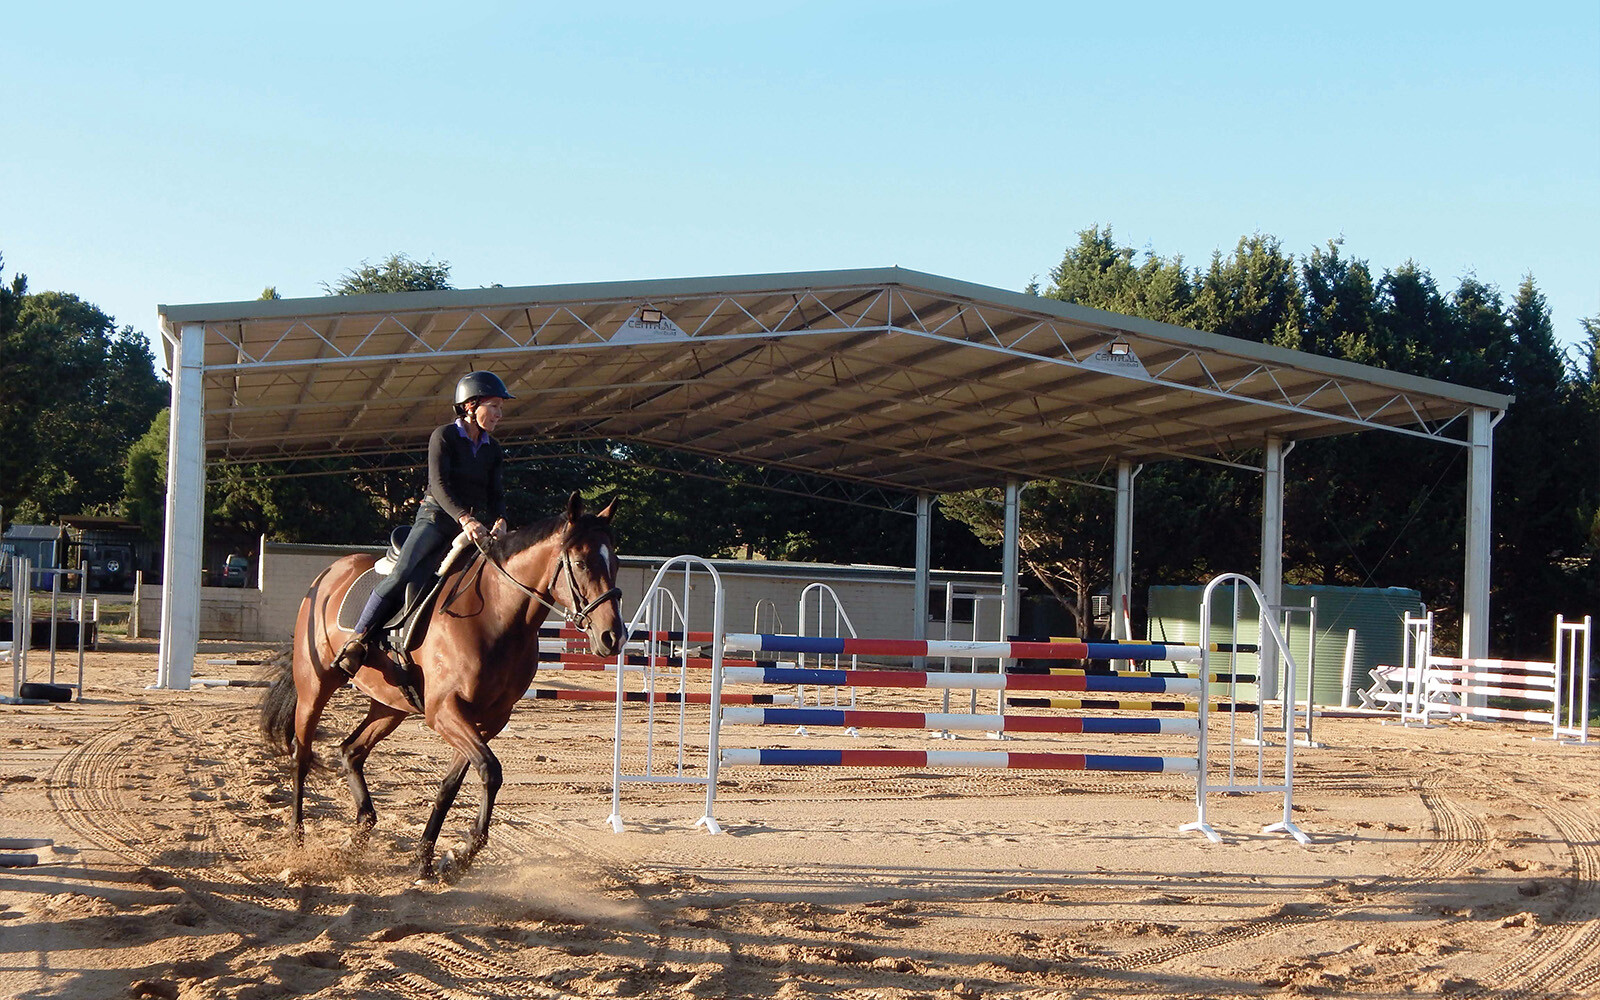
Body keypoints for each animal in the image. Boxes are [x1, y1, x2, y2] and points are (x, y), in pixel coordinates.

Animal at [259, 486, 620, 876]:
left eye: (615, 562)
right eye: (581, 563)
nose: (613, 636)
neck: (497, 615)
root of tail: (329, 572)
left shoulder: (488, 719)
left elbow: (453, 783)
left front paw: (430, 858)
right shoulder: (445, 711)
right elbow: (490, 771)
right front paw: (462, 853)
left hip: (389, 705)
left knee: (351, 751)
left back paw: (359, 835)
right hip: (315, 686)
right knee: (302, 754)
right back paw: (297, 843)